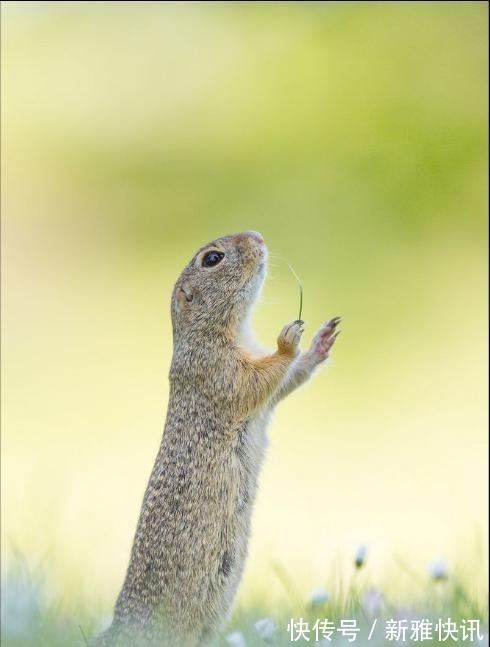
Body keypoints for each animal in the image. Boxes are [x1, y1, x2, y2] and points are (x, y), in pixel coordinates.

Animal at [94, 233, 340, 647]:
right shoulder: (216, 368)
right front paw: (289, 341)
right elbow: (256, 380)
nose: (258, 236)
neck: (228, 330)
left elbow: (285, 382)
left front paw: (322, 340)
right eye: (212, 259)